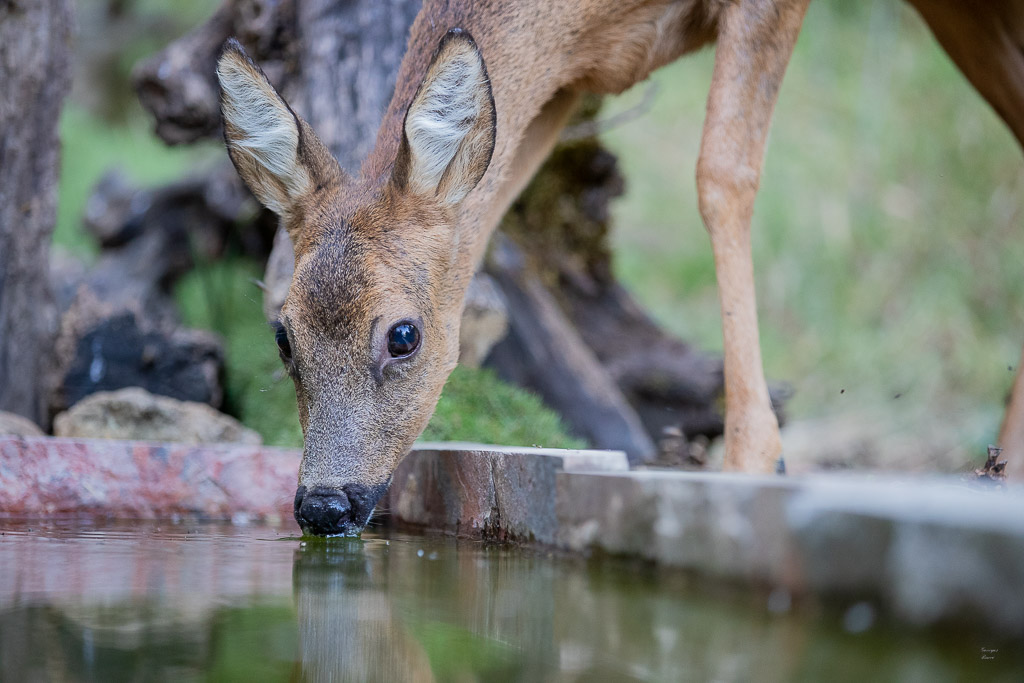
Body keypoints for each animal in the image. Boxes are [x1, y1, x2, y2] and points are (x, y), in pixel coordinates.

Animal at [214, 0, 1024, 536]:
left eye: (403, 335)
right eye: (283, 336)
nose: (323, 504)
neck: (591, 16)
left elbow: (721, 172)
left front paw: (755, 459)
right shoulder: (565, 81)